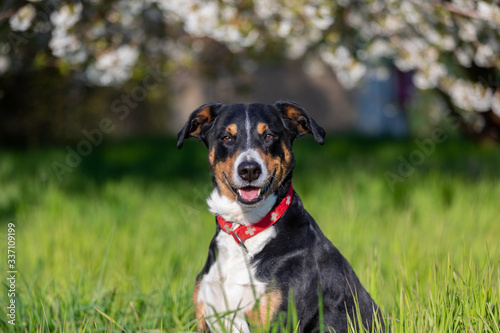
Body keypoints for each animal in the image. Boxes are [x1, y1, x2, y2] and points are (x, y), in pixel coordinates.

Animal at [178, 100, 384, 330]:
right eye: (226, 138)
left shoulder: (276, 320)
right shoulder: (203, 316)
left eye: (269, 136)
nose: (249, 170)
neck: (245, 229)